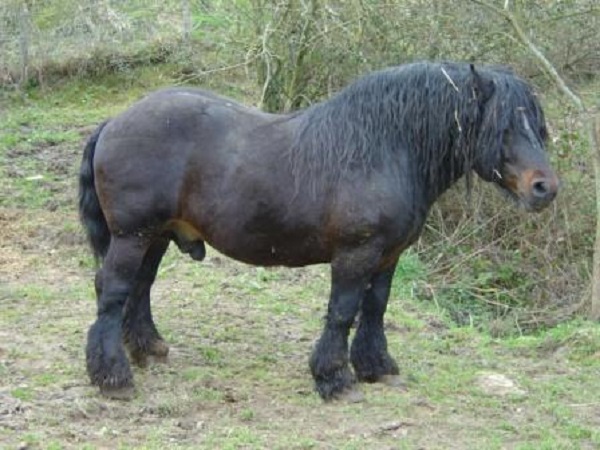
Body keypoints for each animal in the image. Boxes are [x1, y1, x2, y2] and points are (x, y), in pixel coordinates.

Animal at [78, 60, 556, 400]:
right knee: (114, 291)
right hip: (132, 236)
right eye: (503, 127)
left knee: (140, 288)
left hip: (156, 236)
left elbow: (375, 308)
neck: (384, 148)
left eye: (537, 126)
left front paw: (376, 366)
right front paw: (333, 378)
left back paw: (148, 349)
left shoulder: (388, 256)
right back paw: (113, 376)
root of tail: (114, 122)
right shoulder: (356, 254)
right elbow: (343, 311)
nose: (544, 188)